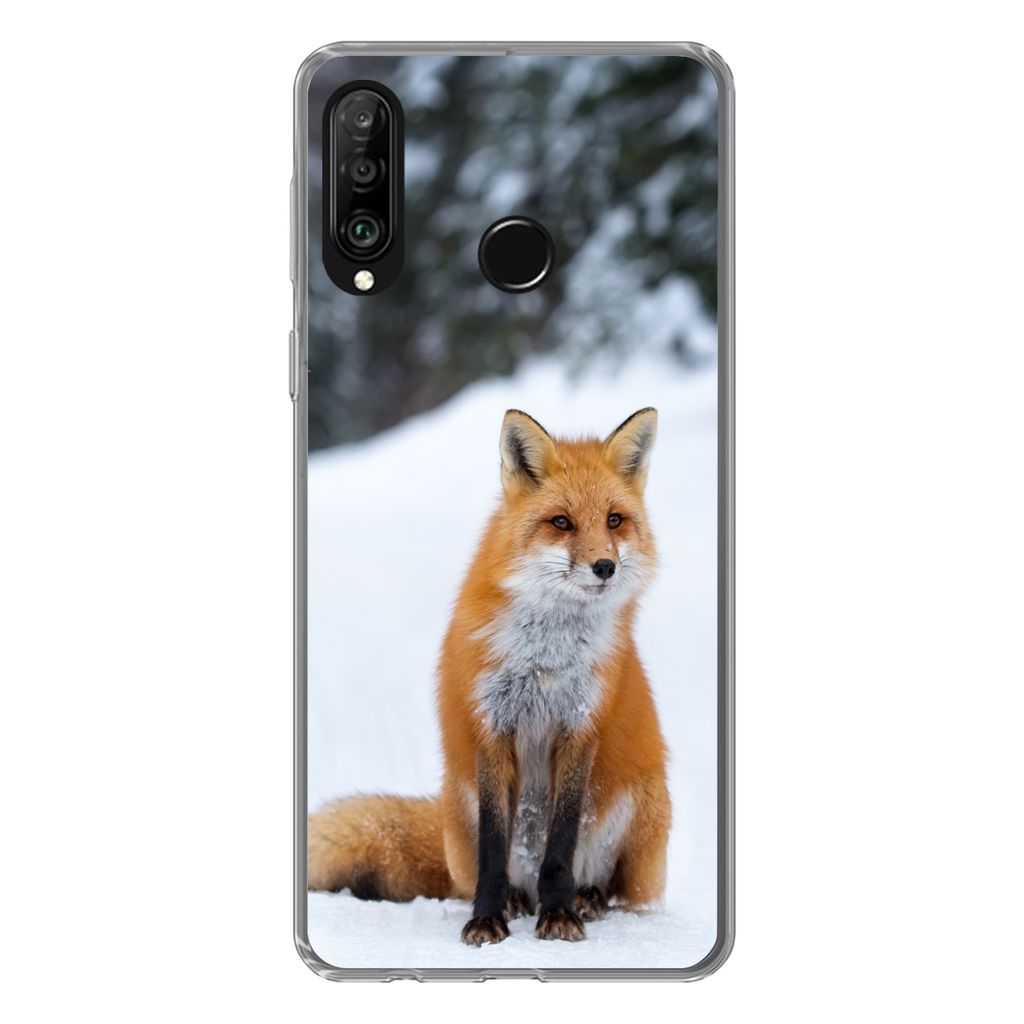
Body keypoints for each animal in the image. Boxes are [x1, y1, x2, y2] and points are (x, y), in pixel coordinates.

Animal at [308, 407, 670, 945]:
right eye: (561, 522)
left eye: (614, 520)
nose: (604, 566)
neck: (545, 657)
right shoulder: (492, 725)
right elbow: (494, 849)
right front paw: (487, 917)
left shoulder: (580, 726)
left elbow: (560, 846)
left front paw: (559, 913)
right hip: (460, 809)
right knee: (485, 872)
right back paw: (519, 901)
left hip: (643, 807)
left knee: (617, 889)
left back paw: (585, 898)